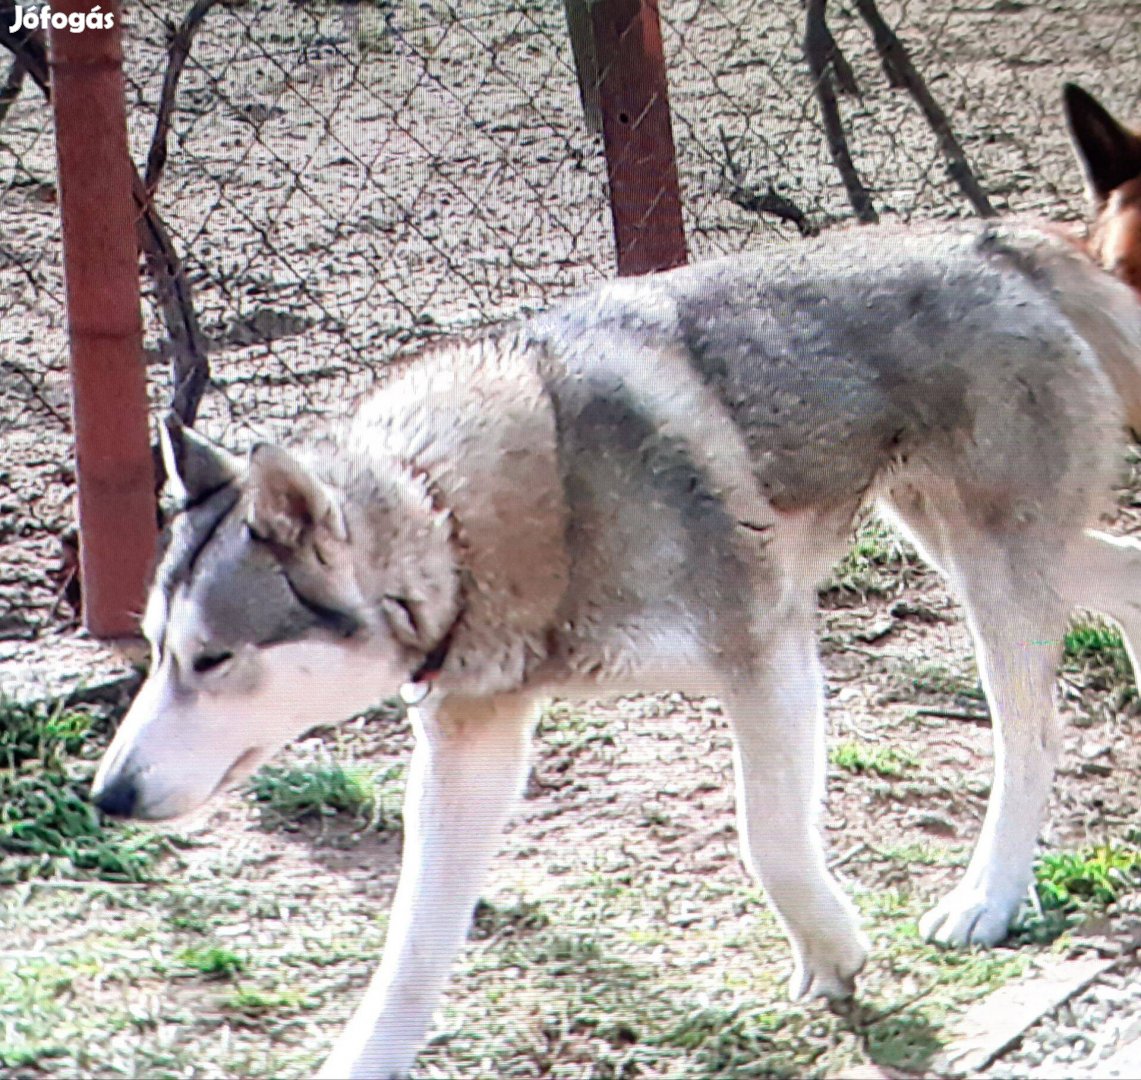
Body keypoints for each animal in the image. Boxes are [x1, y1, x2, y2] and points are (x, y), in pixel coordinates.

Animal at [93, 84, 1141, 1072]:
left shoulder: (771, 657)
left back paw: (987, 898)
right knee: (1125, 579)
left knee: (1030, 740)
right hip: (977, 543)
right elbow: (412, 949)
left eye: (212, 659)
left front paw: (832, 951)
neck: (464, 517)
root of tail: (1002, 241)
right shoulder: (470, 752)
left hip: (992, 576)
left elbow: (769, 838)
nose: (107, 798)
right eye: (155, 653)